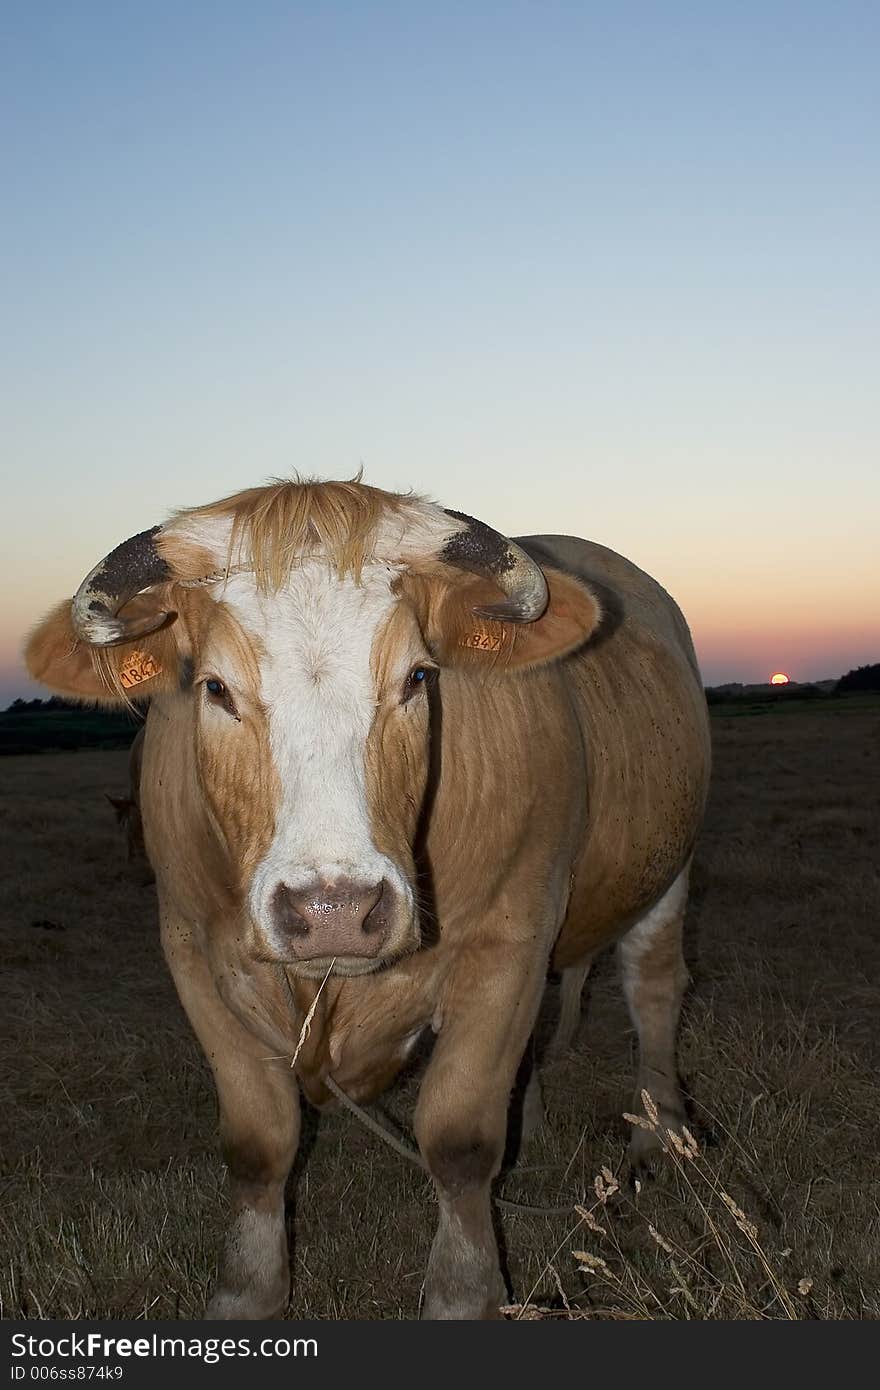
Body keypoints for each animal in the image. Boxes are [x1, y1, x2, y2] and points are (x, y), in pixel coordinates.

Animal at [25, 483, 706, 1317]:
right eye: (215, 688)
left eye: (416, 677)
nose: (334, 911)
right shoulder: (191, 950)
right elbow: (258, 1144)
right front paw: (248, 1294)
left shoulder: (507, 943)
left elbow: (459, 1140)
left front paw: (463, 1293)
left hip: (669, 866)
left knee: (654, 993)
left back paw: (659, 1137)